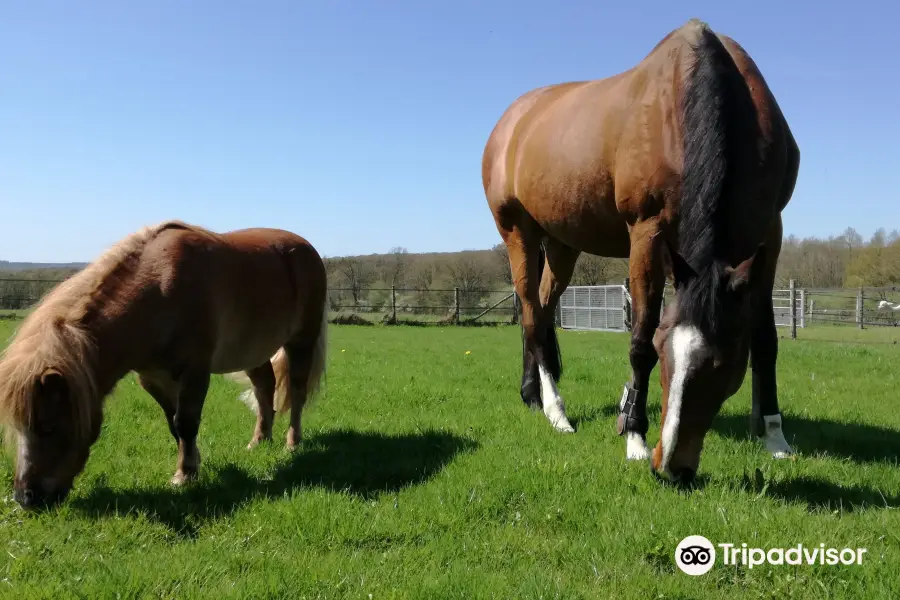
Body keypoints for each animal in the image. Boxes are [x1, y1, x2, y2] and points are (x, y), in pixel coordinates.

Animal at [0, 220, 330, 506]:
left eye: (48, 427)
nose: (25, 499)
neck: (160, 287)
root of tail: (306, 248)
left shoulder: (195, 373)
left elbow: (186, 423)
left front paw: (184, 475)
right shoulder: (153, 379)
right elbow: (174, 425)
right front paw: (191, 465)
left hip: (301, 341)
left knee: (297, 391)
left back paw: (292, 442)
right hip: (253, 350)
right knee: (265, 390)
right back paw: (259, 441)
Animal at [482, 18, 800, 480]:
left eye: (724, 363)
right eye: (664, 350)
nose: (670, 466)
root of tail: (511, 122)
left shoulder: (768, 234)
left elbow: (766, 340)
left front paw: (775, 438)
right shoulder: (647, 234)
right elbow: (638, 337)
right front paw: (633, 434)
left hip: (561, 244)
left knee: (540, 307)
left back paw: (533, 396)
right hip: (516, 231)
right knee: (528, 310)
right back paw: (557, 411)